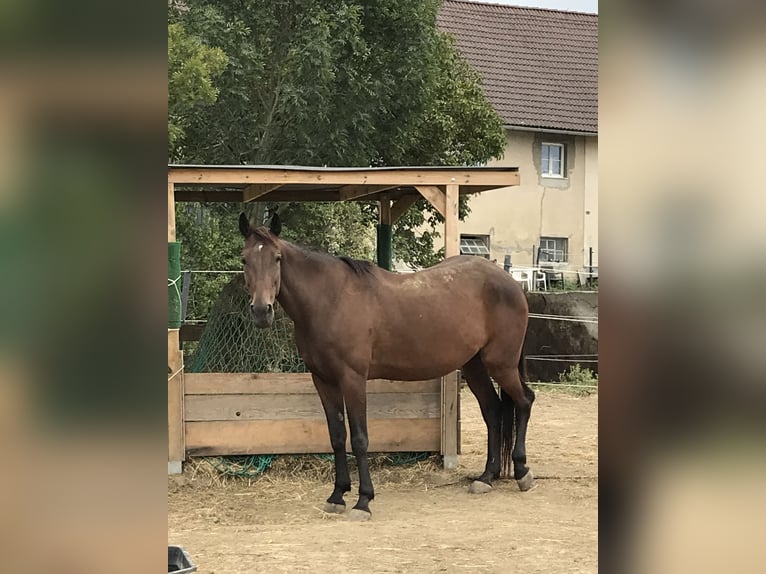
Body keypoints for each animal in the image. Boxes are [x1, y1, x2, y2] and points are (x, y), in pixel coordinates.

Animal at [238, 215, 536, 520]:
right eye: (244, 259)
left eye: (277, 258)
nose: (261, 311)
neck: (331, 299)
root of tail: (511, 283)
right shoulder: (323, 380)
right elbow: (337, 436)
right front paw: (337, 495)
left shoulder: (353, 379)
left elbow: (359, 438)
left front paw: (363, 500)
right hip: (474, 366)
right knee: (493, 411)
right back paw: (486, 477)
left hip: (501, 364)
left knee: (524, 401)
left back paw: (522, 472)